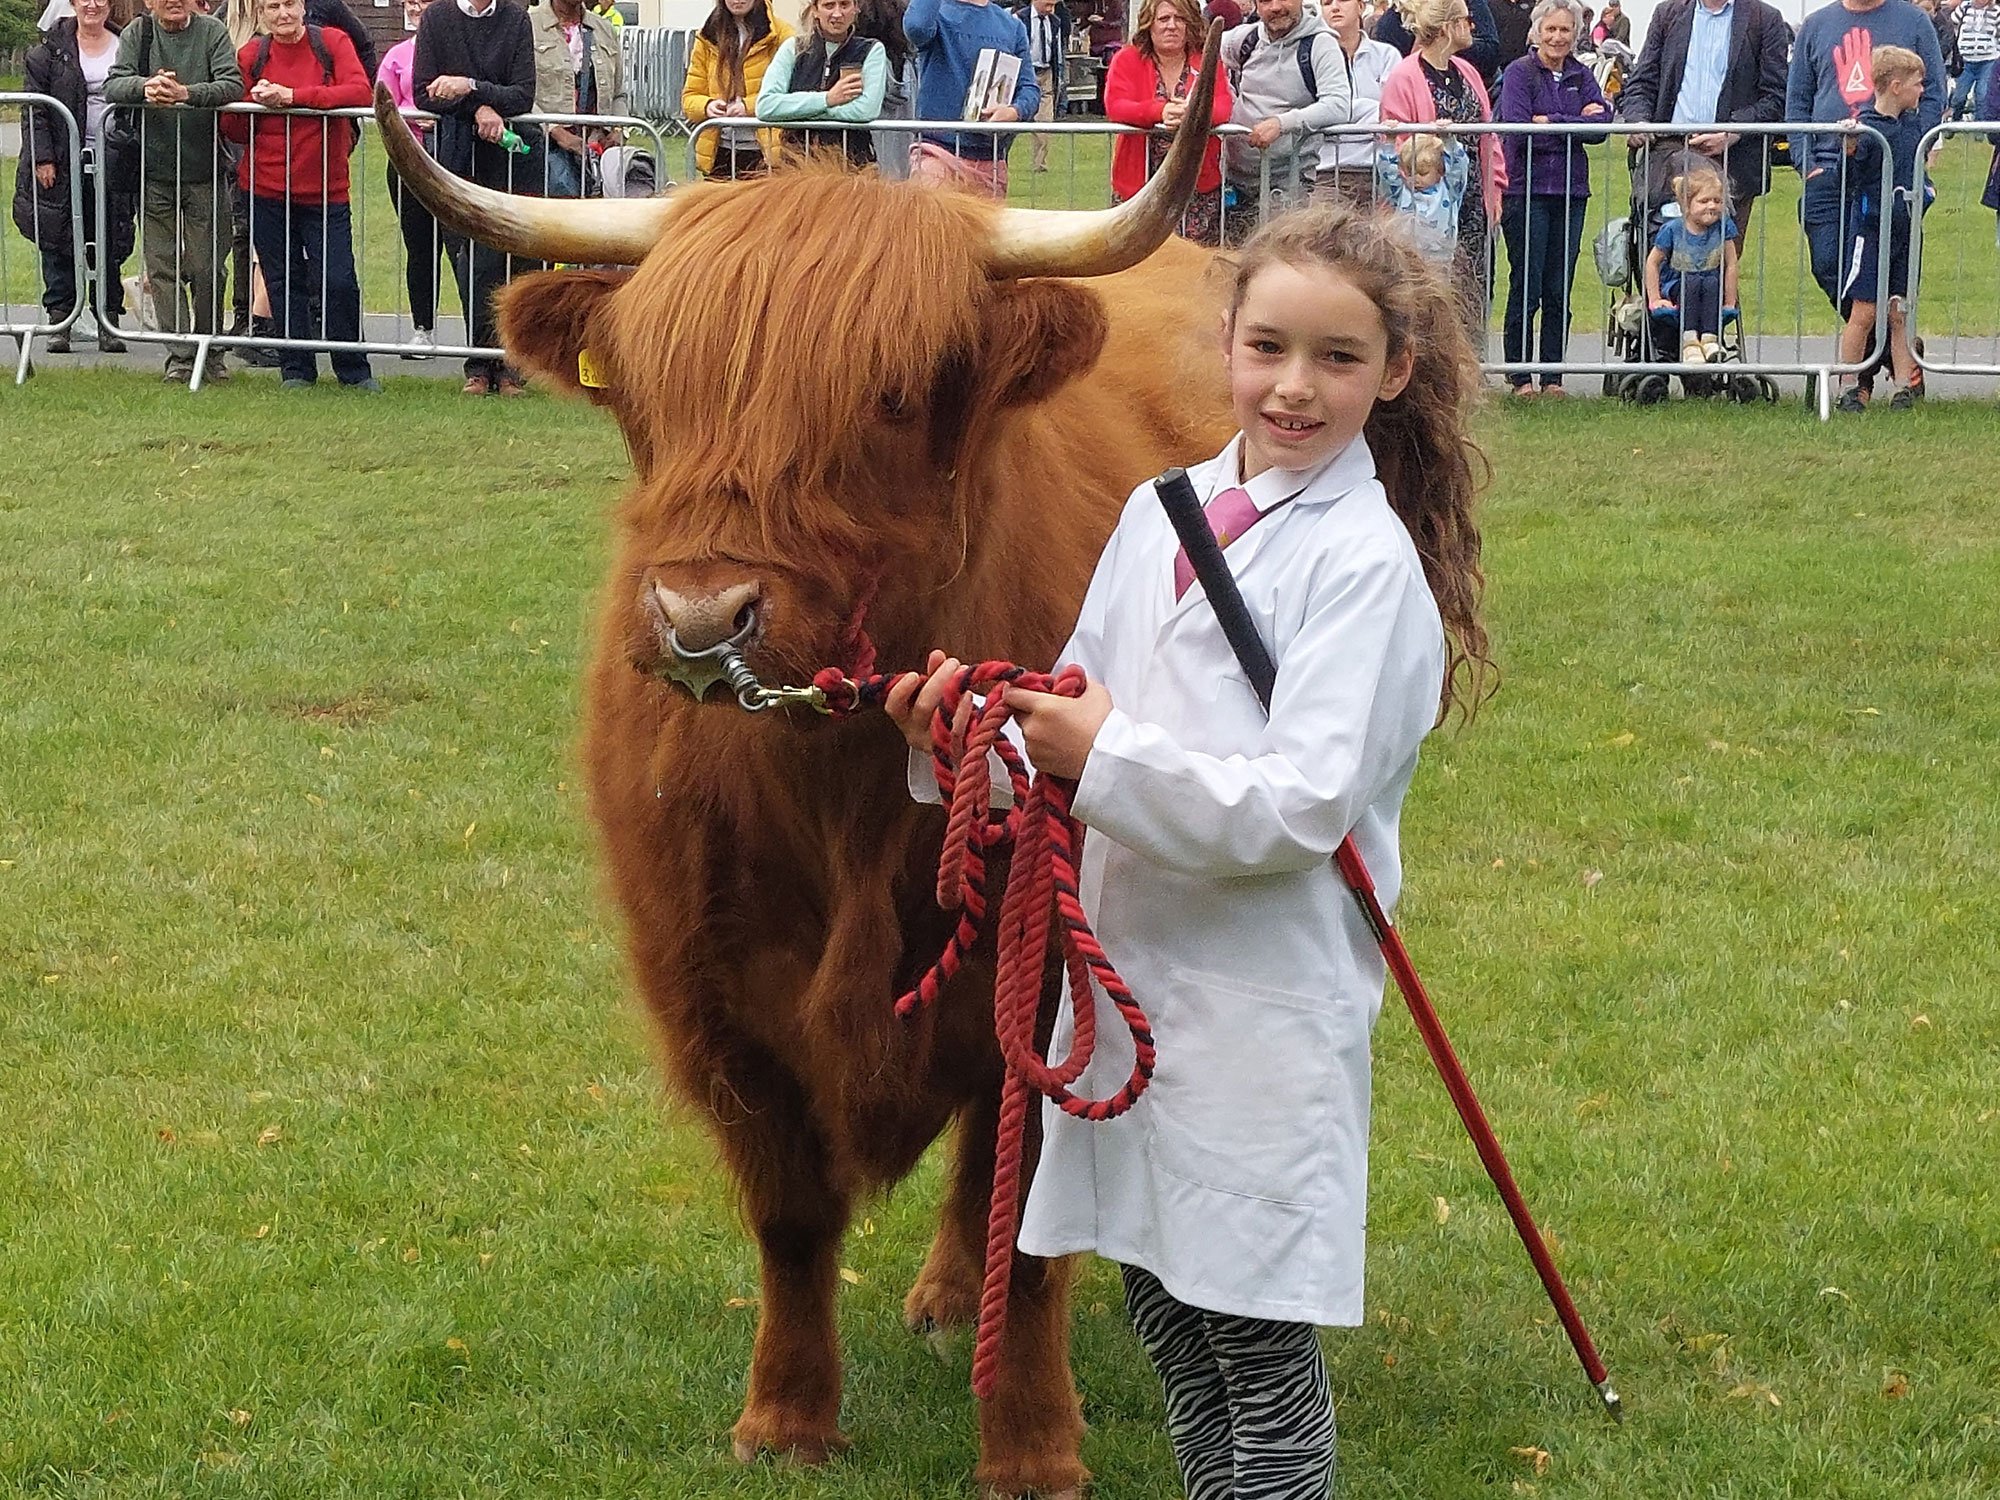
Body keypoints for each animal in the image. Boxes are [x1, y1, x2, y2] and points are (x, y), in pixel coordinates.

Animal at [378, 73, 1232, 1500]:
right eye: (646, 392)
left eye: (887, 396)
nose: (696, 619)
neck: (840, 791)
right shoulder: (709, 984)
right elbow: (787, 1210)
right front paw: (783, 1416)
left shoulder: (1050, 970)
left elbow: (1027, 1208)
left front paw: (1032, 1447)